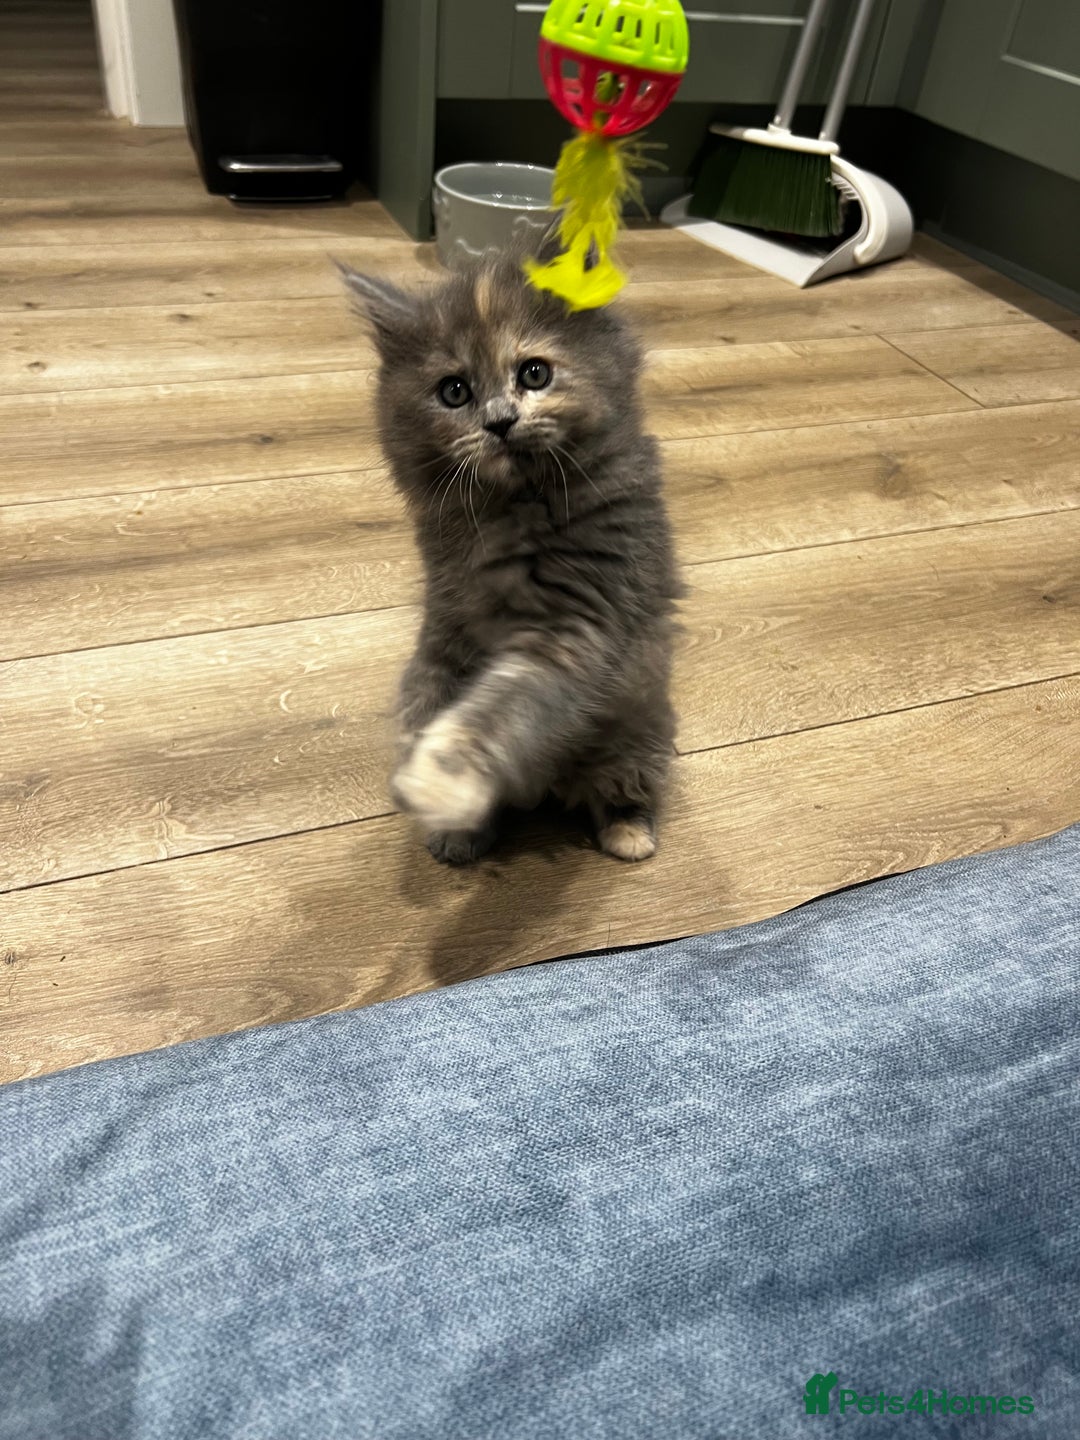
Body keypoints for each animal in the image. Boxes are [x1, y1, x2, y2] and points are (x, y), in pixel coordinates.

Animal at [341, 256, 680, 865]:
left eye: (535, 374)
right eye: (454, 391)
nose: (499, 421)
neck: (510, 509)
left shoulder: (576, 625)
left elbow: (499, 707)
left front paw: (437, 780)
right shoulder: (446, 620)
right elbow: (422, 694)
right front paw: (417, 769)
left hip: (638, 731)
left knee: (623, 786)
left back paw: (630, 835)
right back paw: (460, 837)